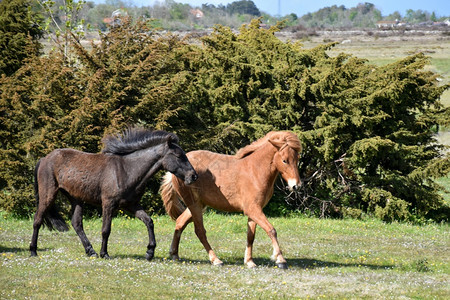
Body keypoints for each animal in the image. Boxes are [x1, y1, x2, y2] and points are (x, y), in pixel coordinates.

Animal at [29, 126, 196, 260]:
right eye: (178, 155)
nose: (193, 176)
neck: (127, 170)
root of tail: (44, 158)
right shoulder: (109, 204)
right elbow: (106, 229)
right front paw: (105, 254)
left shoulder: (131, 205)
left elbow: (149, 221)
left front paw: (149, 252)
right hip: (48, 195)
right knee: (38, 220)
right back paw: (33, 251)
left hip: (76, 198)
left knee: (76, 224)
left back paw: (91, 251)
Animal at [160, 131, 300, 268]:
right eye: (285, 160)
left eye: (297, 159)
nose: (296, 186)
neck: (255, 171)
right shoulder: (253, 210)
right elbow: (271, 230)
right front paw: (280, 259)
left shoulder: (254, 211)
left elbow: (251, 236)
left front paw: (249, 261)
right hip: (194, 205)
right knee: (199, 231)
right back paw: (215, 260)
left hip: (198, 205)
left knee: (180, 222)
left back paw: (174, 254)